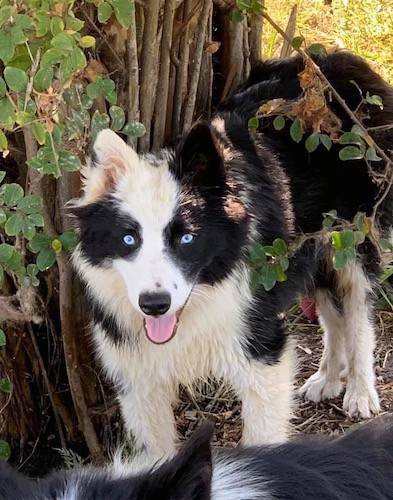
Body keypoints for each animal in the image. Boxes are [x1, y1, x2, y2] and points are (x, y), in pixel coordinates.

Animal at [71, 50, 392, 458]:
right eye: (129, 239)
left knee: (357, 311)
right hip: (308, 253)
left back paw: (361, 392)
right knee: (331, 315)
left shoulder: (262, 354)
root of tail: (345, 60)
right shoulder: (139, 379)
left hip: (354, 240)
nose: (155, 305)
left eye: (187, 238)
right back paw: (328, 379)